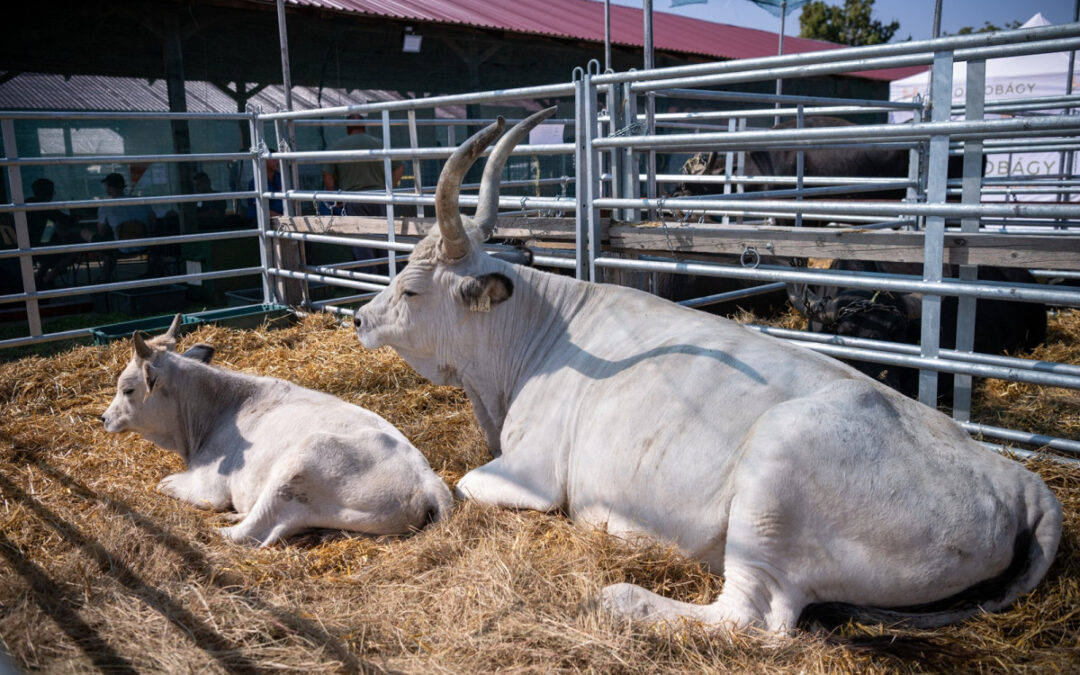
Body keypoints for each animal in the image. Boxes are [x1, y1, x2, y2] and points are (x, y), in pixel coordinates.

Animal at [349, 109, 1058, 630]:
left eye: (411, 288)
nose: (359, 318)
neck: (527, 344)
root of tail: (1026, 485)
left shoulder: (535, 473)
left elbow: (465, 484)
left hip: (772, 487)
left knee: (752, 616)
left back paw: (623, 598)